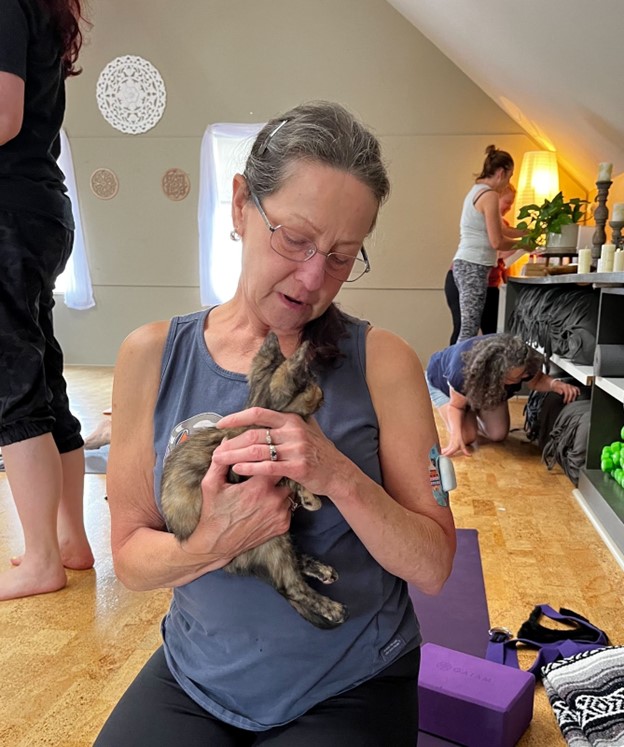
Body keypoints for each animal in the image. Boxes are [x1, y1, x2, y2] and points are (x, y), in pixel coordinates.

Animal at [158, 334, 348, 632]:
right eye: (312, 381)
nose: (324, 394)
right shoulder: (242, 467)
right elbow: (289, 474)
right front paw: (309, 497)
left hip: (278, 540)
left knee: (295, 562)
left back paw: (322, 570)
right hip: (270, 543)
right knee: (291, 586)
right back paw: (332, 607)